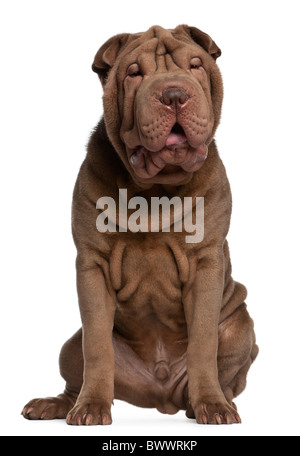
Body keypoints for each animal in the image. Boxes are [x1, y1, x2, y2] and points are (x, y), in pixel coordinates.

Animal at [22, 24, 258, 424]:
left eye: (196, 65)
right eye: (134, 73)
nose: (174, 94)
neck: (156, 189)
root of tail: (160, 393)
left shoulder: (206, 264)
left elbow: (204, 343)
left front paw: (212, 405)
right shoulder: (93, 265)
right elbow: (97, 345)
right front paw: (91, 407)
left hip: (241, 327)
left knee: (227, 368)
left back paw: (213, 403)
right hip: (69, 346)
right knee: (77, 369)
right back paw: (55, 404)